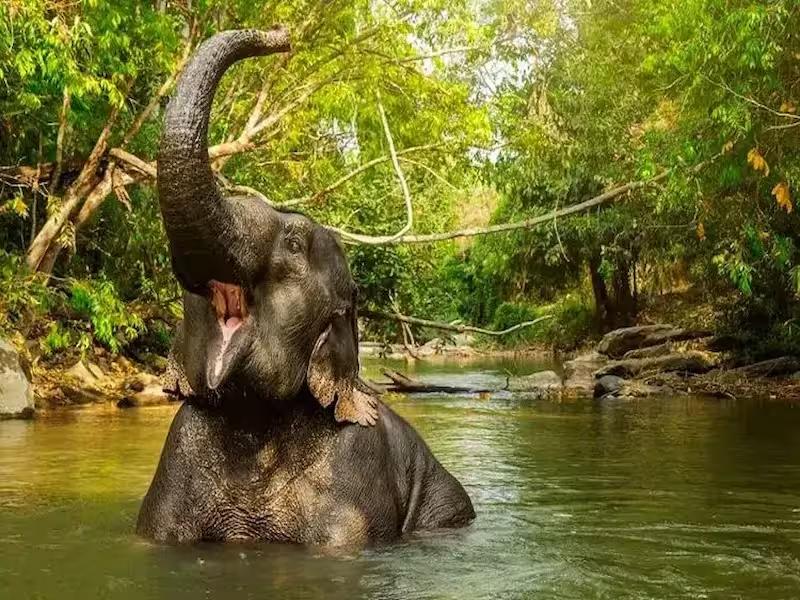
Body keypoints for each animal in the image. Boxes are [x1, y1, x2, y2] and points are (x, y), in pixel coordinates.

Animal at [136, 28, 475, 546]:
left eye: (294, 244)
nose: (282, 35)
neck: (255, 424)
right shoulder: (175, 459)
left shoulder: (355, 469)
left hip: (446, 504)